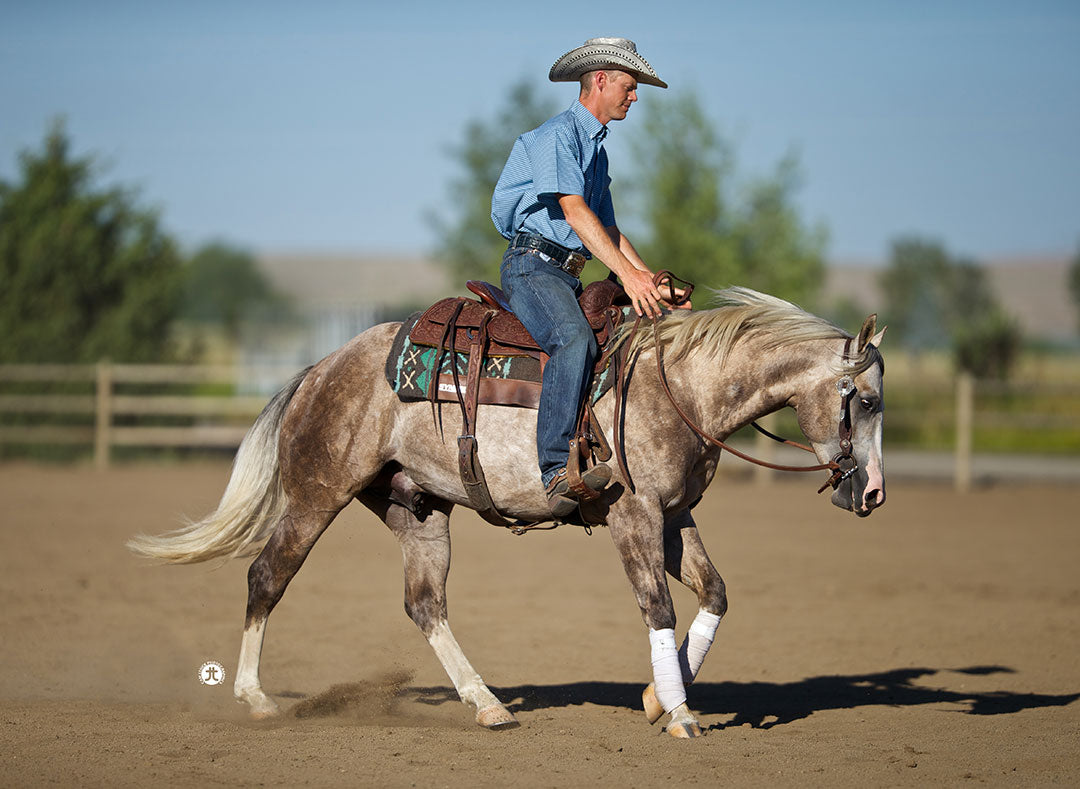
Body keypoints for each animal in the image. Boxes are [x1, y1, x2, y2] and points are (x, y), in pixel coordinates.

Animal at [128, 284, 885, 742]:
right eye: (868, 400)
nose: (873, 493)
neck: (680, 386)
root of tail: (320, 368)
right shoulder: (633, 515)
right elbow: (659, 607)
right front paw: (677, 715)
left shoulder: (674, 516)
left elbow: (715, 593)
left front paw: (655, 697)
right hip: (317, 494)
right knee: (267, 576)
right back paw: (256, 698)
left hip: (419, 509)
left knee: (424, 604)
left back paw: (487, 703)